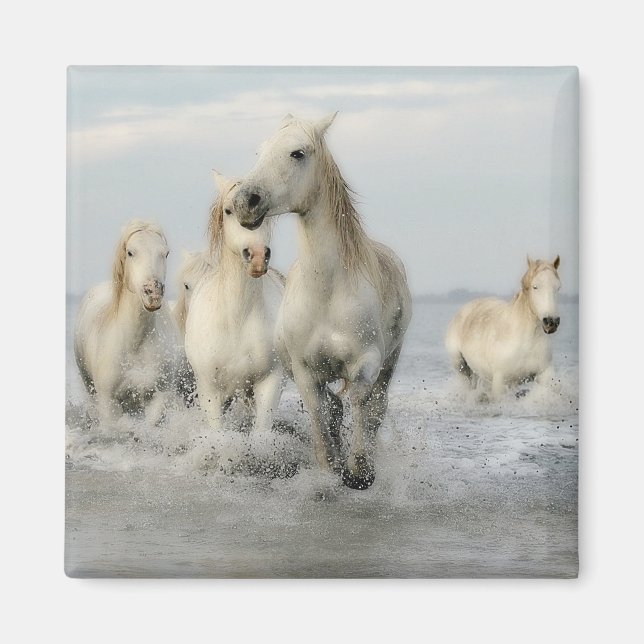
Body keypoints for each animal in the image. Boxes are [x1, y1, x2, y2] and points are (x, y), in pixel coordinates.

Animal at [74, 219, 183, 428]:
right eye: (131, 252)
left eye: (165, 253)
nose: (153, 293)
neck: (135, 344)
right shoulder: (109, 404)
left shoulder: (158, 398)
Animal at [184, 172, 286, 434]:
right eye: (228, 210)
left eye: (266, 212)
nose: (258, 257)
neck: (237, 318)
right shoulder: (210, 390)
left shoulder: (269, 383)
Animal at [230, 113, 412, 490]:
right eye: (260, 151)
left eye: (297, 153)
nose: (245, 202)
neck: (327, 292)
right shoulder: (303, 370)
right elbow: (320, 412)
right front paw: (332, 468)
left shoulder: (367, 361)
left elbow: (359, 401)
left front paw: (359, 470)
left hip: (390, 361)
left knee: (376, 407)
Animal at [444, 255, 562, 399]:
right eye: (535, 287)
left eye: (557, 288)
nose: (551, 322)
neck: (526, 341)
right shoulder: (502, 382)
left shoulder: (545, 373)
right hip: (461, 367)